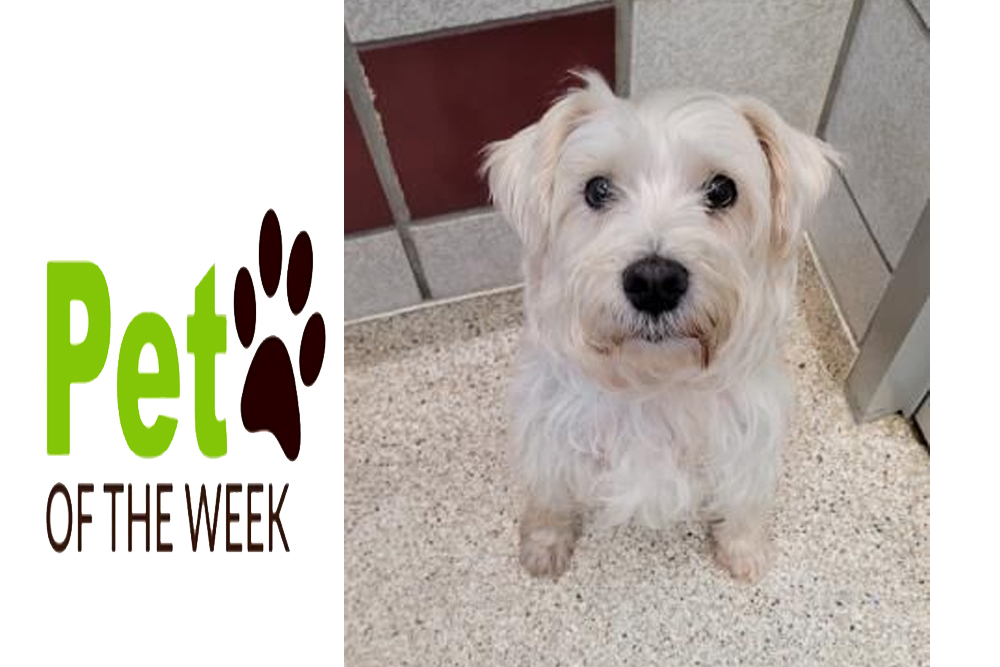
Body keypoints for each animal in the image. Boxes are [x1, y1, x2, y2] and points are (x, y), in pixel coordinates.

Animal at [481, 71, 839, 582]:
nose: (654, 282)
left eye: (722, 190)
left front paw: (744, 548)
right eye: (597, 190)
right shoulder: (548, 431)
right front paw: (544, 543)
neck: (655, 386)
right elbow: (550, 495)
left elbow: (744, 500)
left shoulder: (749, 437)